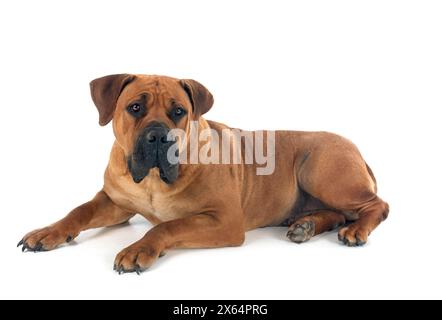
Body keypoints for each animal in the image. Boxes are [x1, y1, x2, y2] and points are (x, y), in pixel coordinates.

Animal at [18, 74, 390, 274]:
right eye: (135, 107)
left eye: (178, 111)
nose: (159, 136)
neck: (153, 180)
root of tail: (358, 151)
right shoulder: (114, 202)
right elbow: (78, 211)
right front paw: (48, 232)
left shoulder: (223, 220)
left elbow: (167, 226)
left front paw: (139, 249)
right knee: (338, 213)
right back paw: (306, 225)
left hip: (320, 168)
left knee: (377, 206)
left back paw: (355, 231)